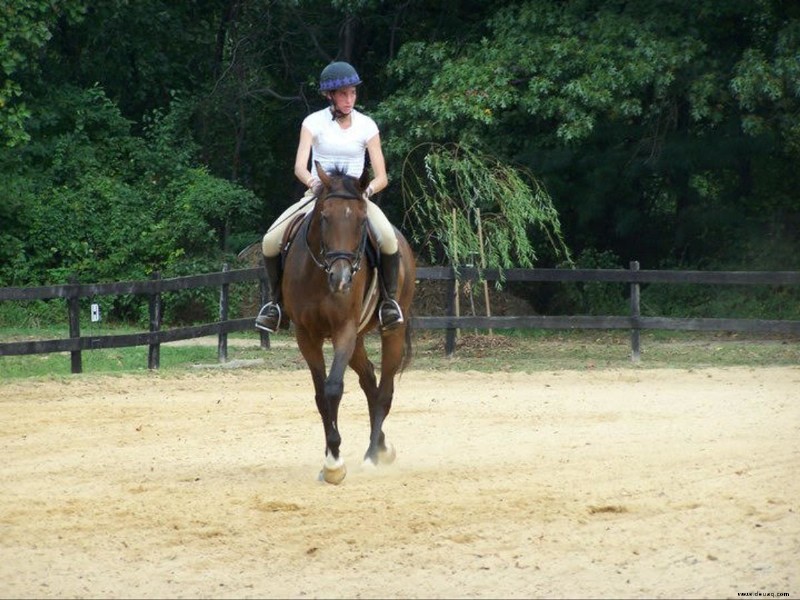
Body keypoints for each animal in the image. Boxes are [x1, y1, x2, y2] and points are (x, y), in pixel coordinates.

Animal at [280, 162, 416, 486]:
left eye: (362, 220)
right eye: (325, 217)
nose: (341, 280)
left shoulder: (344, 330)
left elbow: (333, 388)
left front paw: (334, 463)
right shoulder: (306, 335)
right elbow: (321, 395)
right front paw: (329, 458)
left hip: (391, 331)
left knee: (385, 391)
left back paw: (372, 455)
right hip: (357, 341)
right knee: (369, 382)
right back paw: (382, 447)